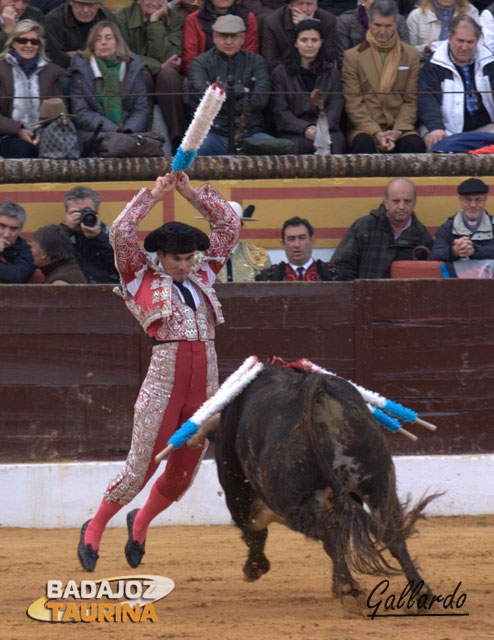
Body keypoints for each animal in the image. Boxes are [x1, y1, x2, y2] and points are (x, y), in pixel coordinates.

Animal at [216, 364, 436, 608]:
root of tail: (317, 385)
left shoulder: (237, 489)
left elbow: (253, 529)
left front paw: (255, 567)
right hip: (380, 482)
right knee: (391, 533)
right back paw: (421, 591)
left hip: (298, 502)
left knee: (329, 533)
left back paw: (350, 591)